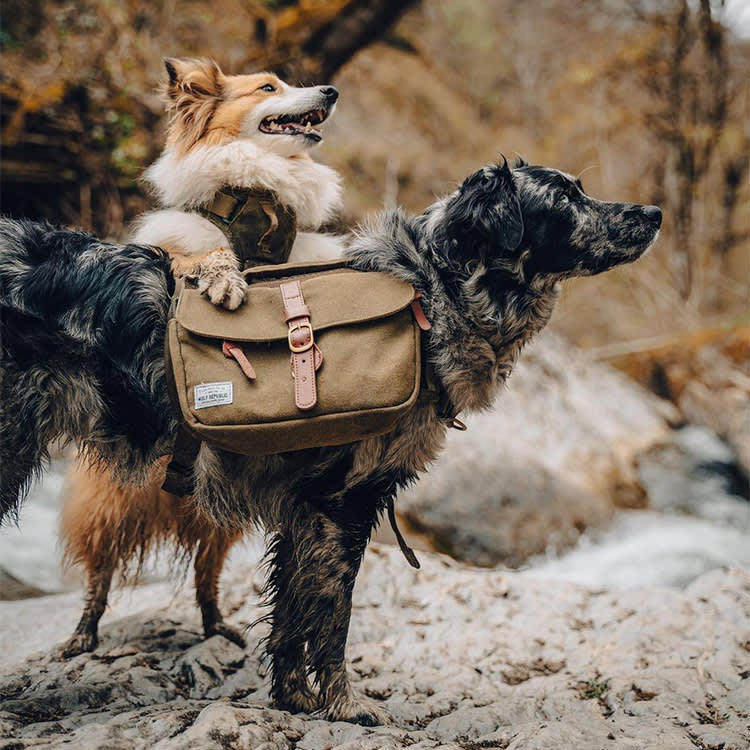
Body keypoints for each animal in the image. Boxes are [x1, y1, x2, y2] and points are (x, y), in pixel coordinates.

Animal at [0, 160, 656, 728]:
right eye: (564, 199)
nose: (652, 212)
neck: (433, 296)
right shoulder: (342, 501)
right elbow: (333, 616)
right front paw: (346, 705)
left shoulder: (302, 507)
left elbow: (293, 618)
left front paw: (295, 700)